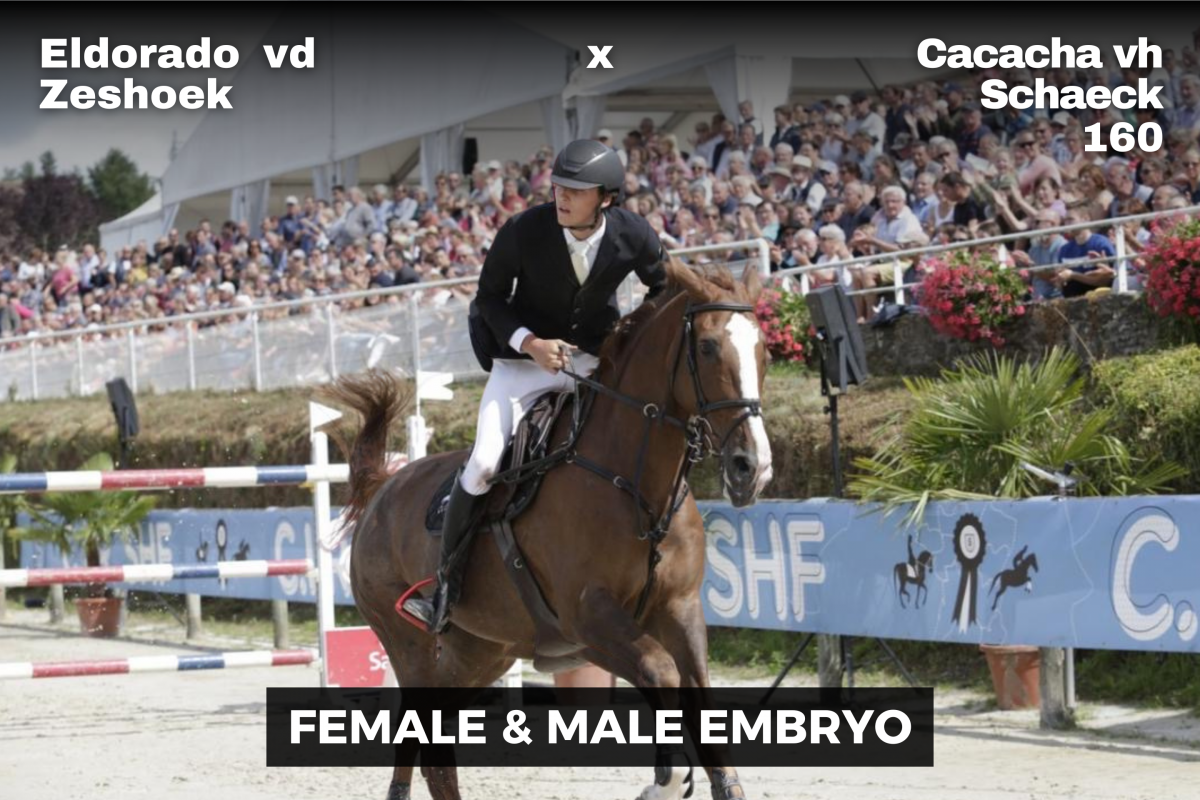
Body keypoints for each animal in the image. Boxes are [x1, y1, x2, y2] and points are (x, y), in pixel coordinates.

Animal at [325, 259, 773, 800]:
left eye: (764, 350)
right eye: (706, 348)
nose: (752, 468)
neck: (635, 484)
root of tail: (383, 489)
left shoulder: (680, 609)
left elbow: (701, 707)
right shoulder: (587, 620)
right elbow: (659, 670)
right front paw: (666, 781)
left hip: (481, 651)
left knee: (437, 750)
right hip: (409, 646)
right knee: (419, 733)